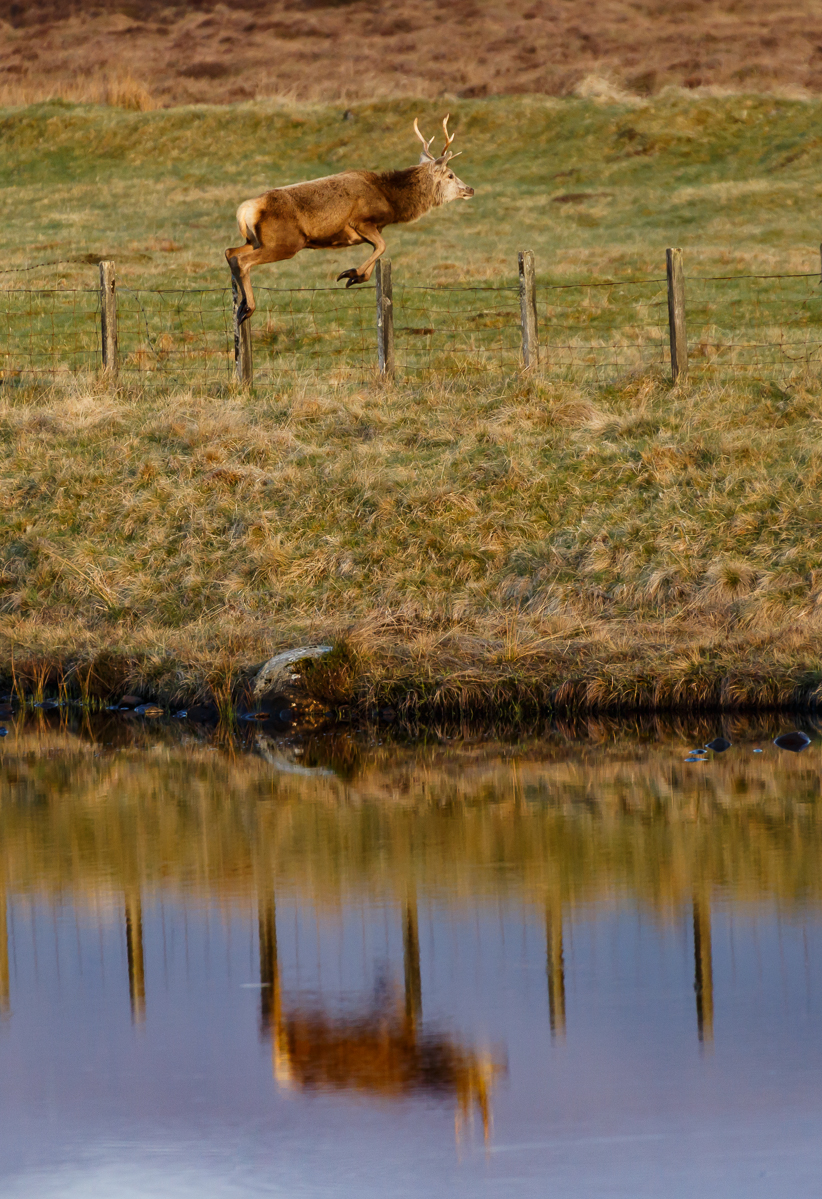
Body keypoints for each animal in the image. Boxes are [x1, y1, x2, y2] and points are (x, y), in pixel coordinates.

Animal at [225, 115, 474, 325]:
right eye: (450, 175)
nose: (470, 189)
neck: (390, 200)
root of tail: (246, 210)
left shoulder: (367, 231)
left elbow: (378, 249)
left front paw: (355, 276)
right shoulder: (362, 221)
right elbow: (382, 246)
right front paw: (351, 274)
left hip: (256, 241)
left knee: (230, 253)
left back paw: (241, 305)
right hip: (285, 242)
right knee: (242, 261)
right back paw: (248, 308)